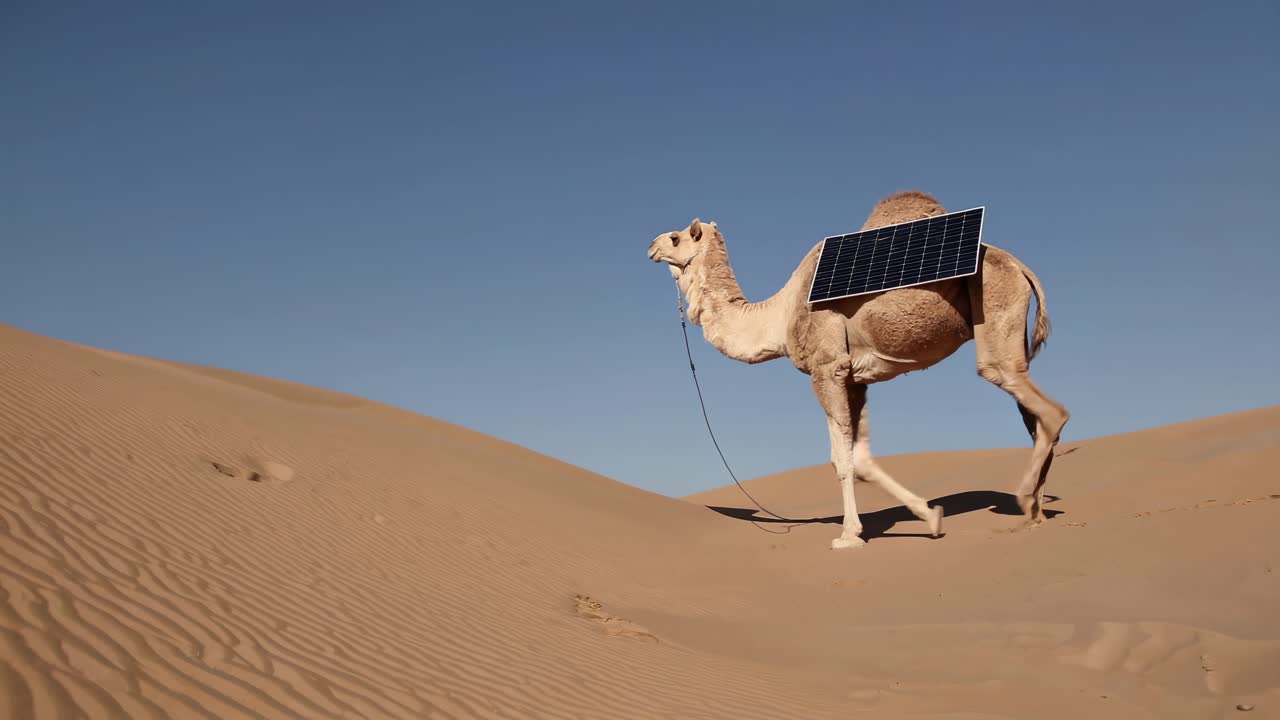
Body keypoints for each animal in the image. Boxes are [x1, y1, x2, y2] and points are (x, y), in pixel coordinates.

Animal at [646, 190, 1070, 549]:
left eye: (675, 238)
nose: (649, 246)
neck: (779, 317)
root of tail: (1019, 265)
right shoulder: (856, 378)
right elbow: (861, 458)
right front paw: (929, 515)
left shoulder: (826, 369)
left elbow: (840, 459)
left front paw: (849, 536)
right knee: (1033, 413)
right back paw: (1037, 511)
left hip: (993, 303)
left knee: (1045, 407)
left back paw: (1025, 502)